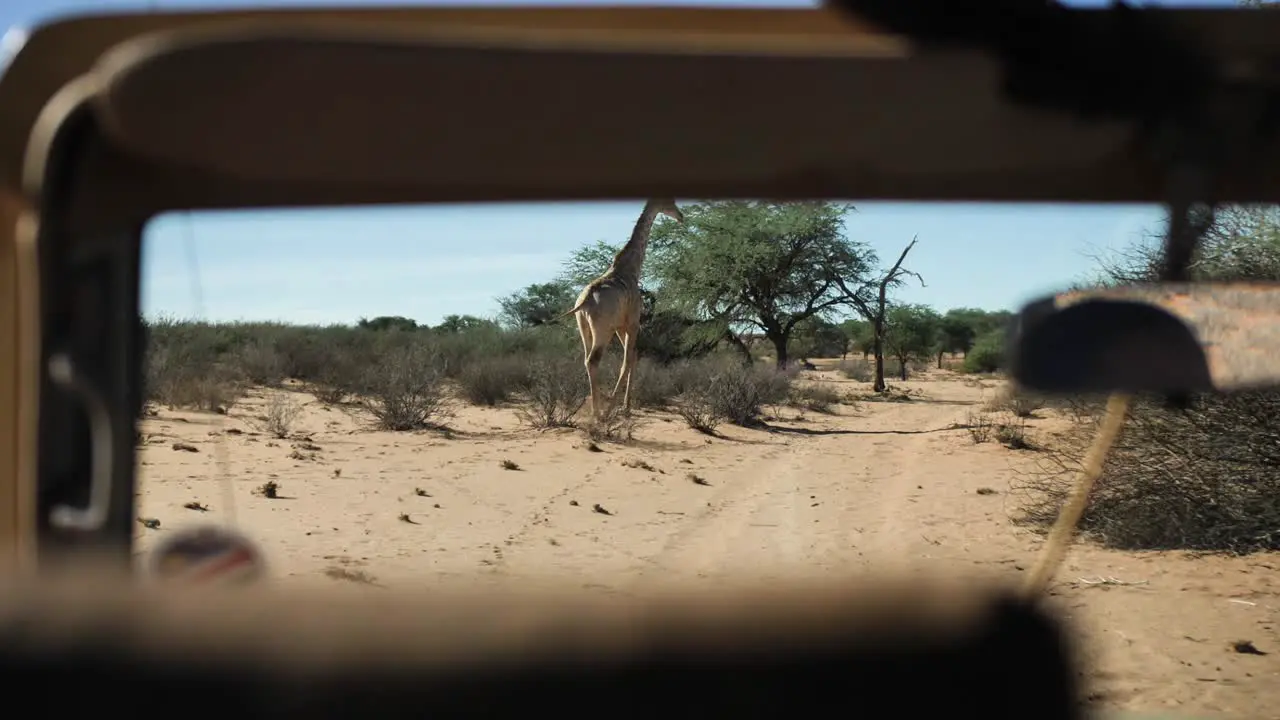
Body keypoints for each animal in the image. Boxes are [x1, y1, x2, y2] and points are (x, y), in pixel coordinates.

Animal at [558, 196, 686, 420]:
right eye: (669, 201)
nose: (681, 216)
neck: (631, 268)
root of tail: (585, 301)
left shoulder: (621, 326)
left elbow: (633, 357)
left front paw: (626, 406)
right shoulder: (634, 322)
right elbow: (627, 361)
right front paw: (616, 408)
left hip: (584, 327)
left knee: (586, 360)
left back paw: (597, 409)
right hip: (602, 330)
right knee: (594, 360)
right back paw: (599, 413)